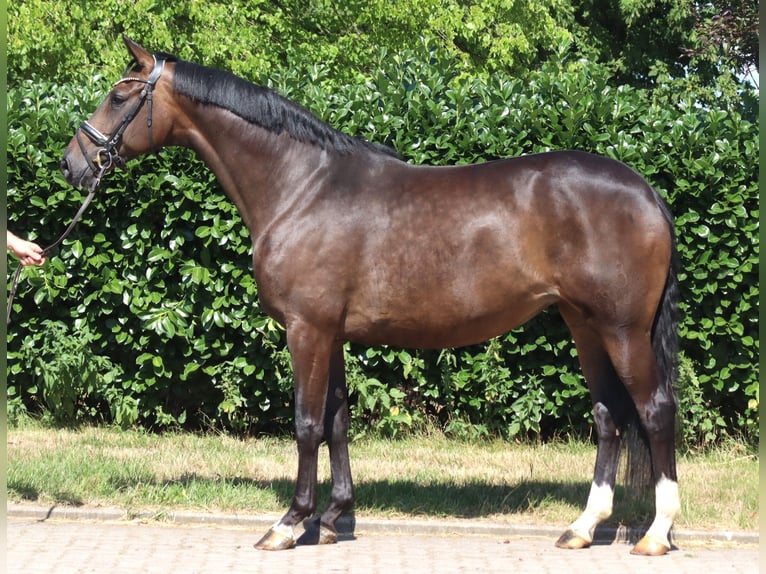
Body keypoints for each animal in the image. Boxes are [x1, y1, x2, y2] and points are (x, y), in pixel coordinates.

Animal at [61, 37, 680, 556]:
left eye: (119, 95)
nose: (73, 164)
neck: (302, 187)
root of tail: (646, 191)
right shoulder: (329, 333)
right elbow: (337, 420)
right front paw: (334, 520)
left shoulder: (306, 329)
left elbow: (307, 423)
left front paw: (289, 524)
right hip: (584, 325)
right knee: (608, 416)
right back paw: (582, 528)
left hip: (621, 329)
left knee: (654, 411)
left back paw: (656, 533)